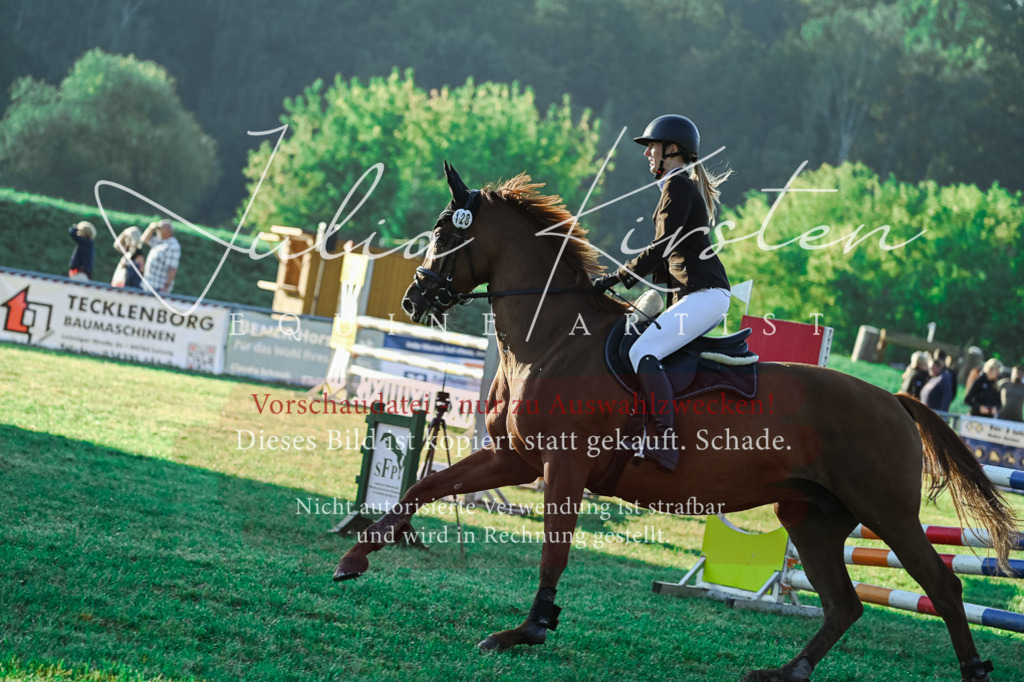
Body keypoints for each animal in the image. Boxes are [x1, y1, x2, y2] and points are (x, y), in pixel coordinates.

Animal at [334, 162, 1017, 682]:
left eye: (444, 232)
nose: (414, 298)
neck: (552, 338)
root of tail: (893, 400)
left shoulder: (563, 467)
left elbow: (554, 550)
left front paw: (528, 630)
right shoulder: (517, 458)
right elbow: (424, 487)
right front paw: (355, 559)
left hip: (887, 511)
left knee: (942, 586)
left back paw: (974, 669)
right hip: (812, 515)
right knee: (844, 605)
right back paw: (784, 672)